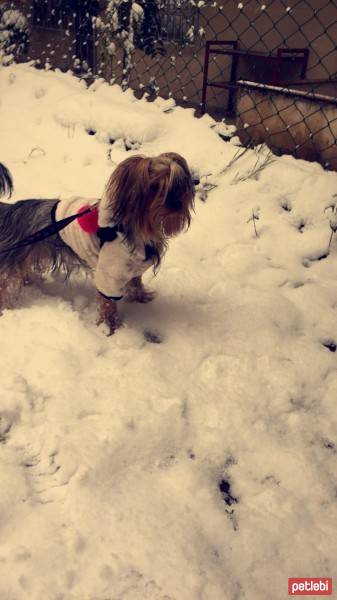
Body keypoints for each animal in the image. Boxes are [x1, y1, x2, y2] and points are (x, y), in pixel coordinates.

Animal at [0, 154, 194, 332]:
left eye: (178, 185)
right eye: (154, 187)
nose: (177, 204)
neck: (140, 229)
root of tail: (11, 210)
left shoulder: (134, 266)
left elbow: (136, 282)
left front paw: (141, 296)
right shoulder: (110, 272)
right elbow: (108, 302)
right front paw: (110, 327)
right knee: (6, 283)